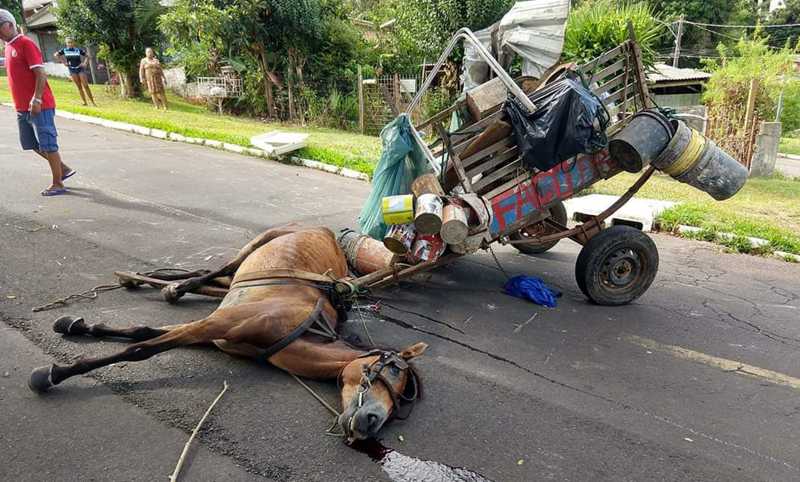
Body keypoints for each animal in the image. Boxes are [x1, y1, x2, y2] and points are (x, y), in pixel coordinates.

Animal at [28, 226, 428, 440]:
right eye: (394, 369)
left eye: (404, 397)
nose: (372, 422)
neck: (301, 330)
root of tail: (325, 230)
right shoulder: (219, 323)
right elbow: (141, 348)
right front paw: (55, 372)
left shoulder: (213, 334)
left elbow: (143, 331)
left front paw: (79, 326)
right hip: (258, 242)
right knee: (217, 269)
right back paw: (165, 286)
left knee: (213, 277)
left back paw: (151, 281)